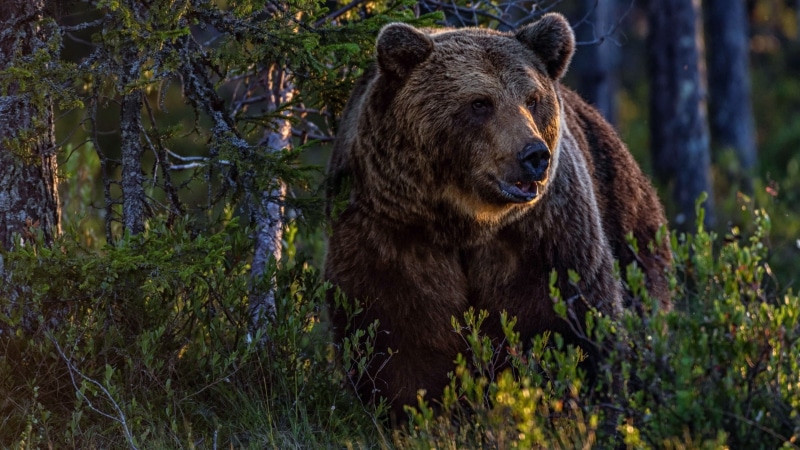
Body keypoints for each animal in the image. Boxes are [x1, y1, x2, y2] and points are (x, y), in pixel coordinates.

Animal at [324, 13, 671, 421]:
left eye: (533, 99)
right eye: (479, 103)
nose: (534, 154)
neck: (465, 224)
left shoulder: (545, 240)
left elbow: (574, 328)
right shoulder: (389, 234)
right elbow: (397, 342)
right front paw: (412, 410)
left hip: (630, 227)